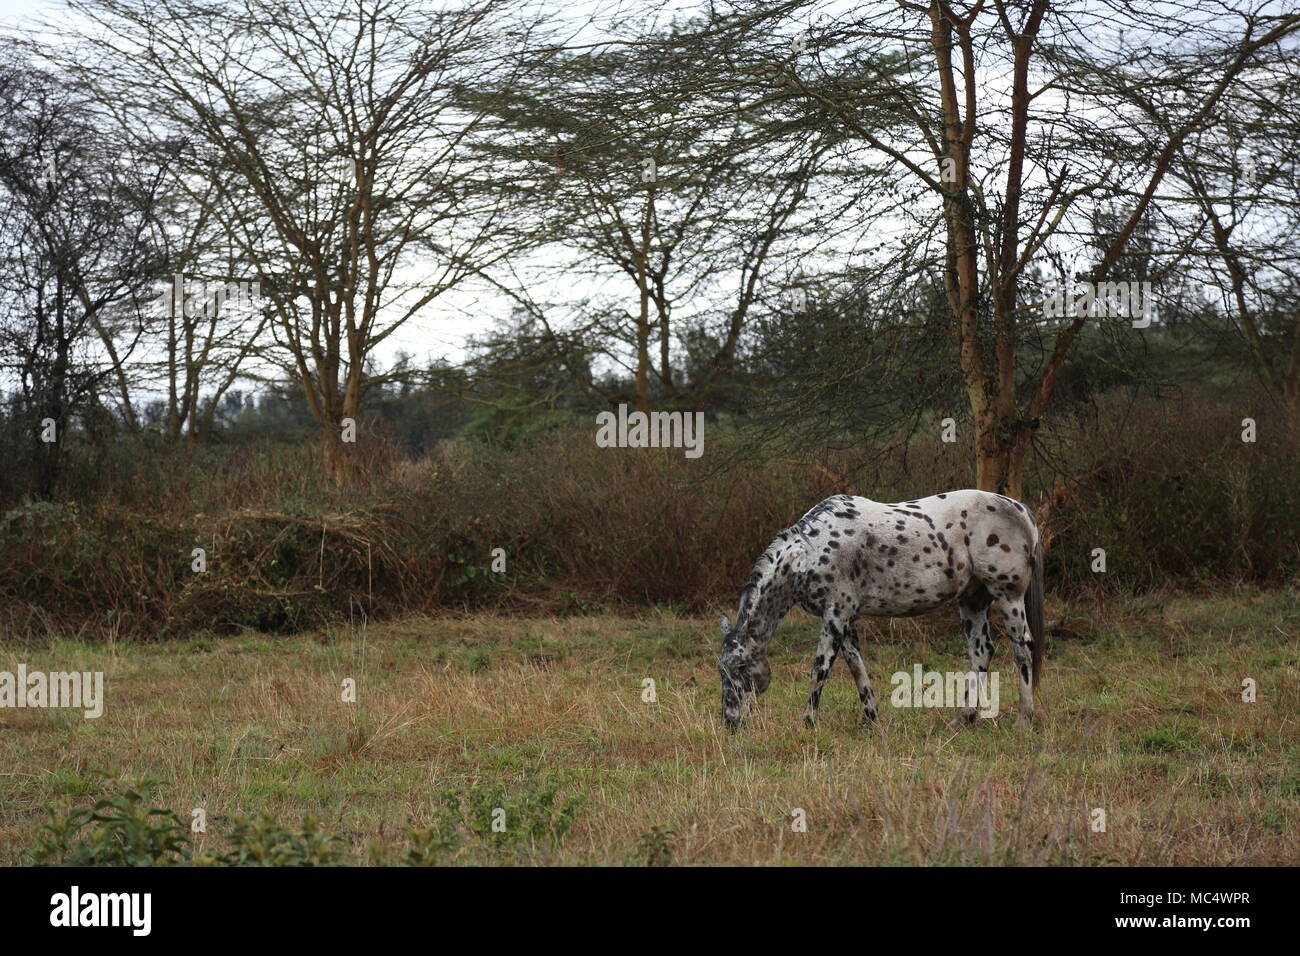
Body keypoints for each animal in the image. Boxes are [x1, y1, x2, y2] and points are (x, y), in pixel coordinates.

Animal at [717, 494, 1040, 733]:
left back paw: (1023, 720)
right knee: (981, 652)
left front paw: (806, 723)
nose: (729, 722)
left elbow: (819, 670)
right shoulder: (845, 618)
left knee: (1022, 649)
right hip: (972, 601)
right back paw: (962, 719)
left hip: (1008, 596)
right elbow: (856, 666)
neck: (810, 551)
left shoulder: (835, 615)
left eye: (740, 670)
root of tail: (1021, 509)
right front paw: (870, 719)